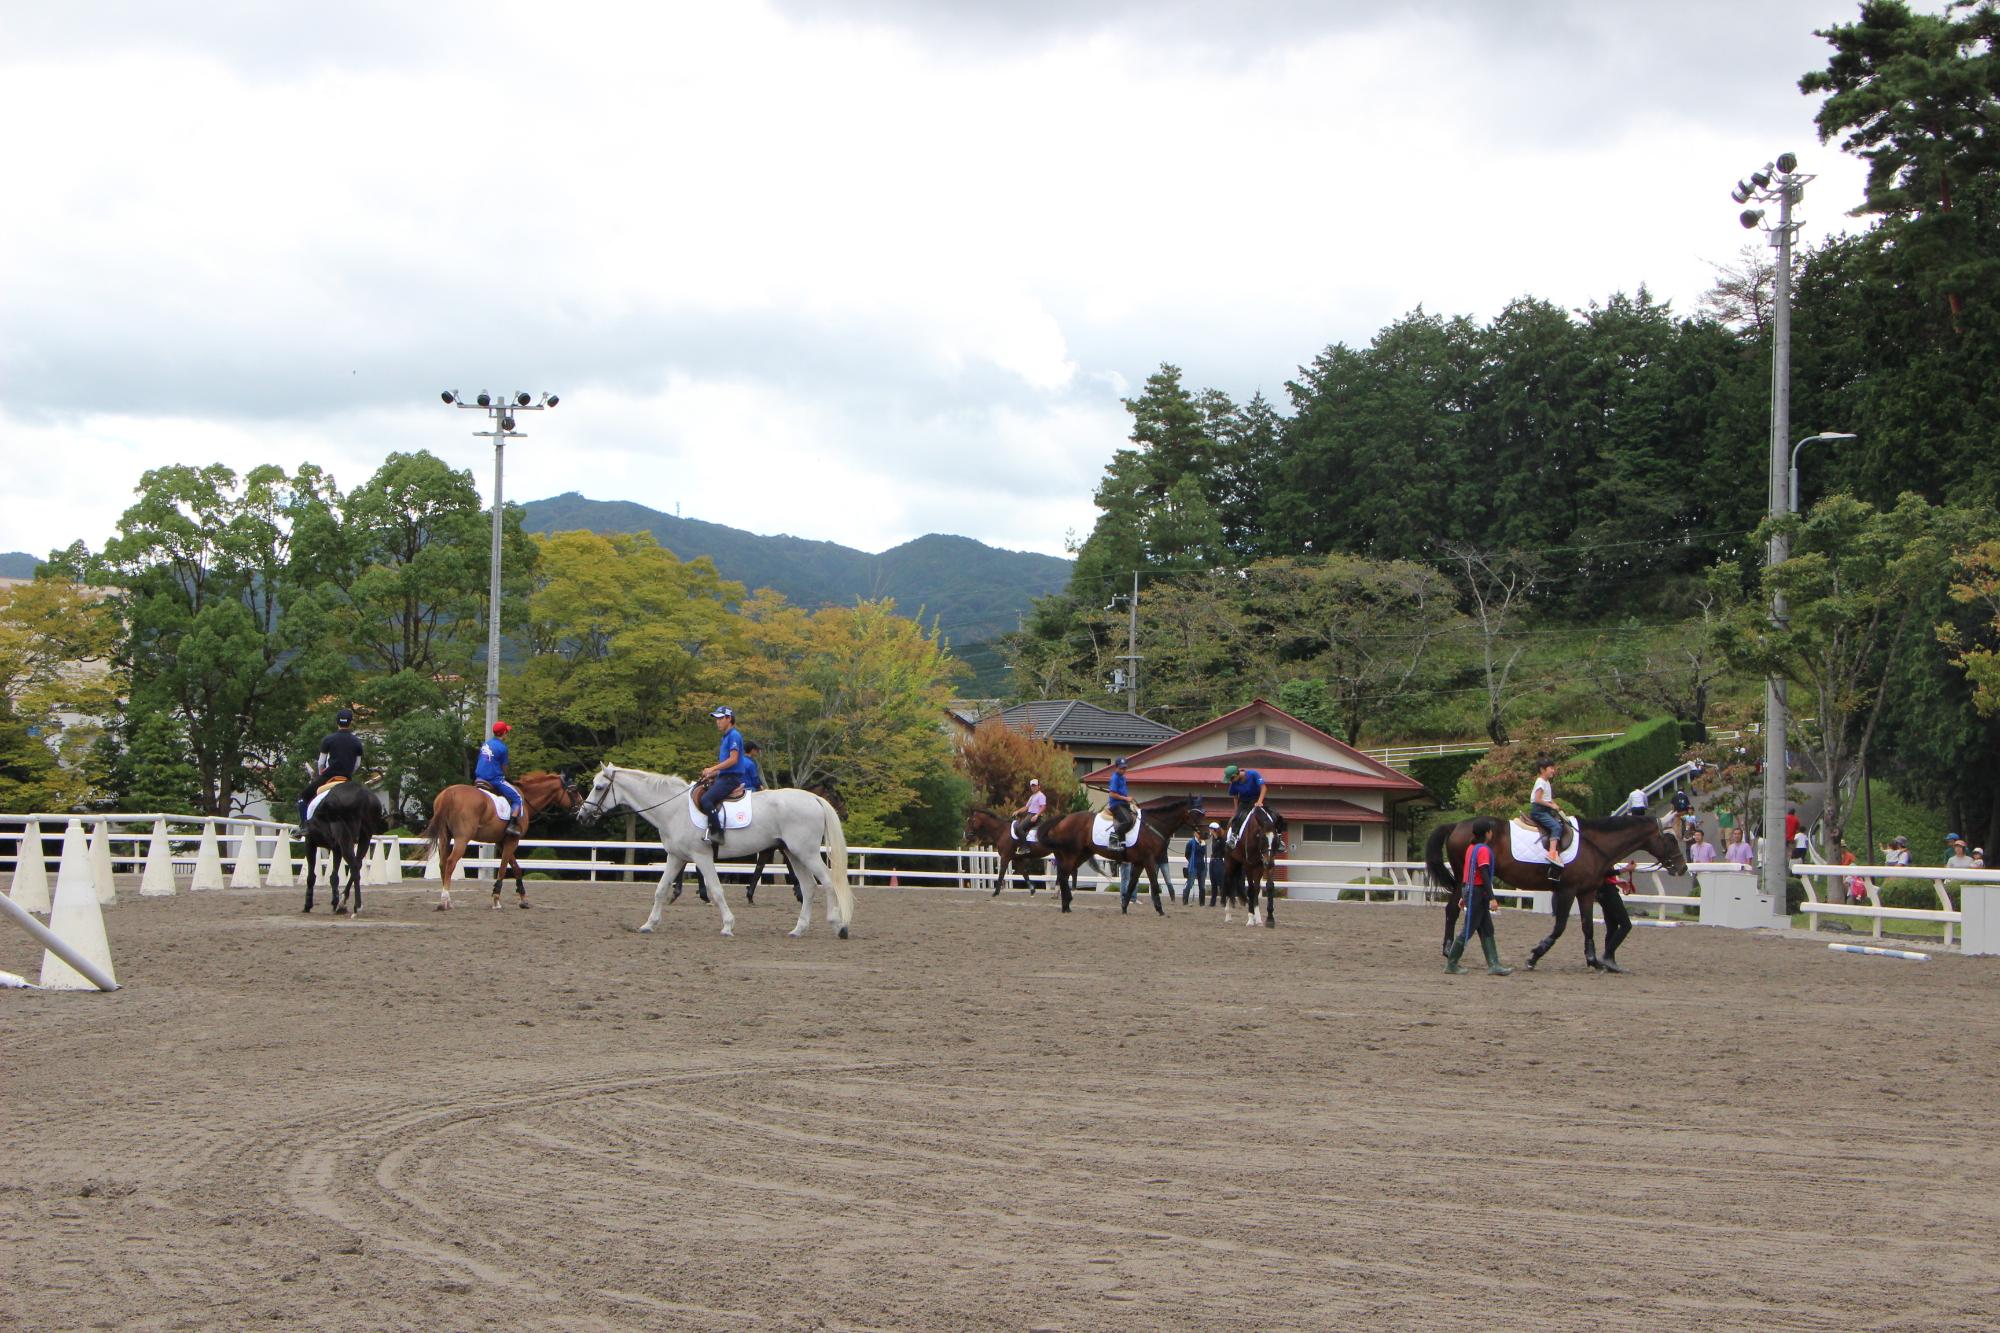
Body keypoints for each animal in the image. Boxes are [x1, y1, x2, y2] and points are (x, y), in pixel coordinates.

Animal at [300, 780, 386, 912]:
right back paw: (343, 901)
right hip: (365, 837)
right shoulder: (336, 849)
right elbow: (334, 876)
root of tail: (363, 795)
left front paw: (308, 905)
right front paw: (335, 901)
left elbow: (311, 877)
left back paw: (357, 905)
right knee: (357, 864)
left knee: (354, 865)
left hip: (345, 837)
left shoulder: (310, 843)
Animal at [422, 768, 580, 912]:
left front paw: (523, 900)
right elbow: (503, 869)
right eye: (573, 790)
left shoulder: (501, 842)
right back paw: (444, 900)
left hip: (445, 837)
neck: (525, 800)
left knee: (442, 864)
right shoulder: (512, 841)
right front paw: (496, 900)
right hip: (462, 839)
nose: (581, 806)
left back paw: (447, 901)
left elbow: (516, 868)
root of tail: (449, 793)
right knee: (450, 863)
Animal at [580, 764, 860, 940]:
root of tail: (813, 798)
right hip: (794, 853)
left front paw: (727, 925)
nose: (581, 815)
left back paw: (839, 925)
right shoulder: (676, 857)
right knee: (809, 886)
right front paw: (649, 924)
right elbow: (660, 890)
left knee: (827, 883)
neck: (673, 808)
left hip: (807, 853)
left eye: (598, 787)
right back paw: (798, 930)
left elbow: (715, 890)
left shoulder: (701, 856)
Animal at [1040, 792, 1208, 908]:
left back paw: (1066, 901)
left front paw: (1124, 907)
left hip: (1080, 855)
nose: (1206, 834)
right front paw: (1160, 909)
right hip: (1071, 854)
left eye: (1204, 812)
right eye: (1195, 813)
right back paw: (1065, 904)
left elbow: (1132, 884)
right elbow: (1154, 884)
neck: (1152, 826)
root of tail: (1063, 820)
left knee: (1064, 875)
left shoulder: (1140, 862)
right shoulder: (1149, 861)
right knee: (1063, 875)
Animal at [1424, 808, 1688, 964]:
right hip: (1464, 877)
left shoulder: (1586, 892)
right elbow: (1560, 926)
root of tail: (1456, 825)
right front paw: (1536, 954)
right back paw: (1449, 949)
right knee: (1453, 910)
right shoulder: (1567, 891)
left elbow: (1587, 925)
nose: (1682, 868)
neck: (1593, 844)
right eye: (1671, 838)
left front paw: (1593, 959)